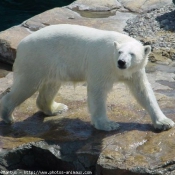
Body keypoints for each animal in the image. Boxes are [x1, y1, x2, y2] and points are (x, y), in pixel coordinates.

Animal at [0, 24, 174, 131]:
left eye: (132, 54)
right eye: (120, 52)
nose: (121, 62)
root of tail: (21, 44)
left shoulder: (135, 71)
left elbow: (143, 92)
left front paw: (164, 122)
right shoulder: (101, 63)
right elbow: (98, 91)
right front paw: (108, 124)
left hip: (51, 63)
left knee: (51, 84)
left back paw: (56, 108)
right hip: (37, 58)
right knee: (26, 85)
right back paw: (8, 115)